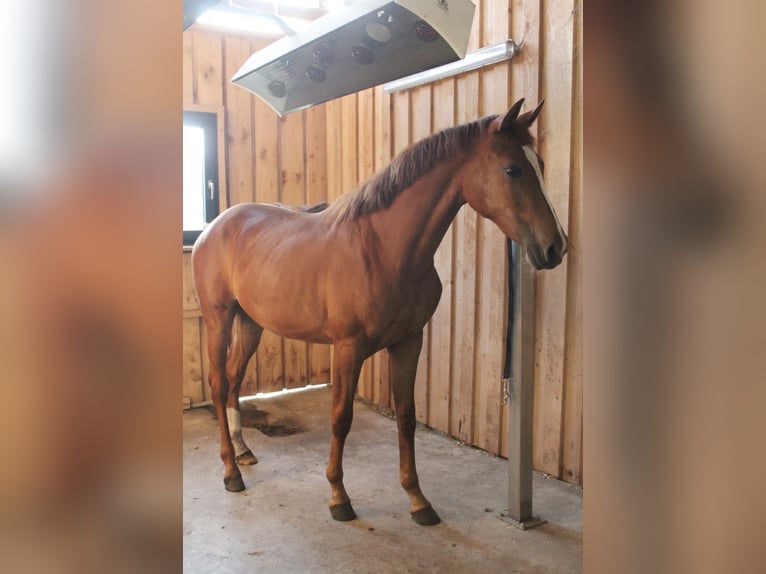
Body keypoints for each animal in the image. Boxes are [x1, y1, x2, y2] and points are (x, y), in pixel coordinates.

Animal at [190, 99, 568, 528]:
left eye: (539, 162)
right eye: (512, 169)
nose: (556, 247)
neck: (385, 248)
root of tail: (215, 227)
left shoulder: (408, 342)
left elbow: (406, 417)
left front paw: (418, 500)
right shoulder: (347, 348)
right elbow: (341, 417)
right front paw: (338, 496)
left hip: (251, 324)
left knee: (234, 381)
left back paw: (243, 451)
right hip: (219, 319)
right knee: (219, 383)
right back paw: (230, 472)